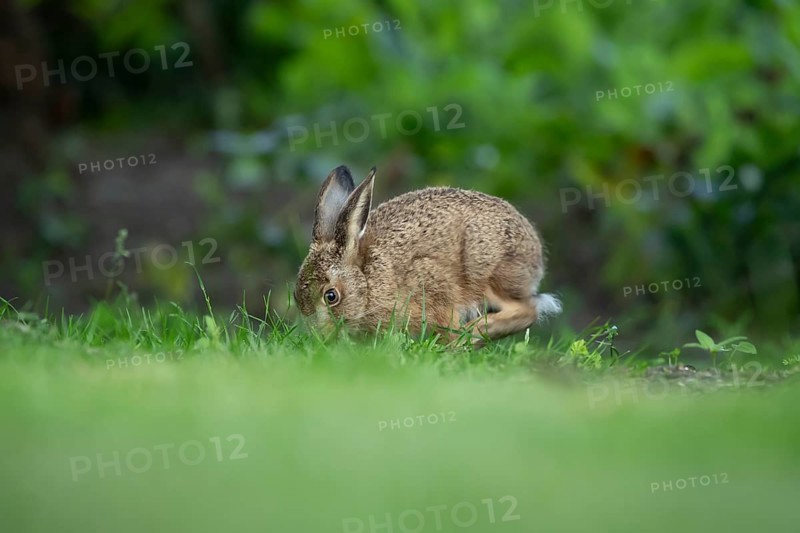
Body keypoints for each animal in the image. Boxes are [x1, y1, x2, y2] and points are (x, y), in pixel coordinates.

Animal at [294, 165, 561, 344]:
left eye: (331, 296)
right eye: (296, 297)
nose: (321, 336)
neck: (368, 281)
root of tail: (534, 248)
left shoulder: (433, 285)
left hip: (487, 272)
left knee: (527, 310)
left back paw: (474, 332)